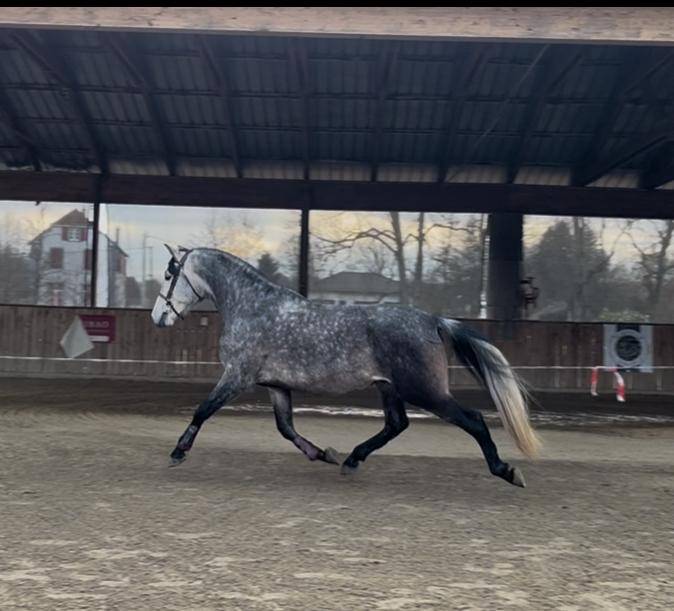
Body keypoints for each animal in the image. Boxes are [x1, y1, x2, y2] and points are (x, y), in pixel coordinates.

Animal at [151, 245, 541, 487]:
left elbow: (203, 410)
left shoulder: (237, 376)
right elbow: (286, 428)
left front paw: (177, 452)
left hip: (425, 391)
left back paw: (507, 471)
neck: (253, 307)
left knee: (472, 420)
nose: (157, 318)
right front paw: (324, 453)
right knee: (396, 425)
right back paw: (352, 460)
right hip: (389, 387)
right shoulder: (276, 385)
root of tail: (432, 321)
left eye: (169, 275)